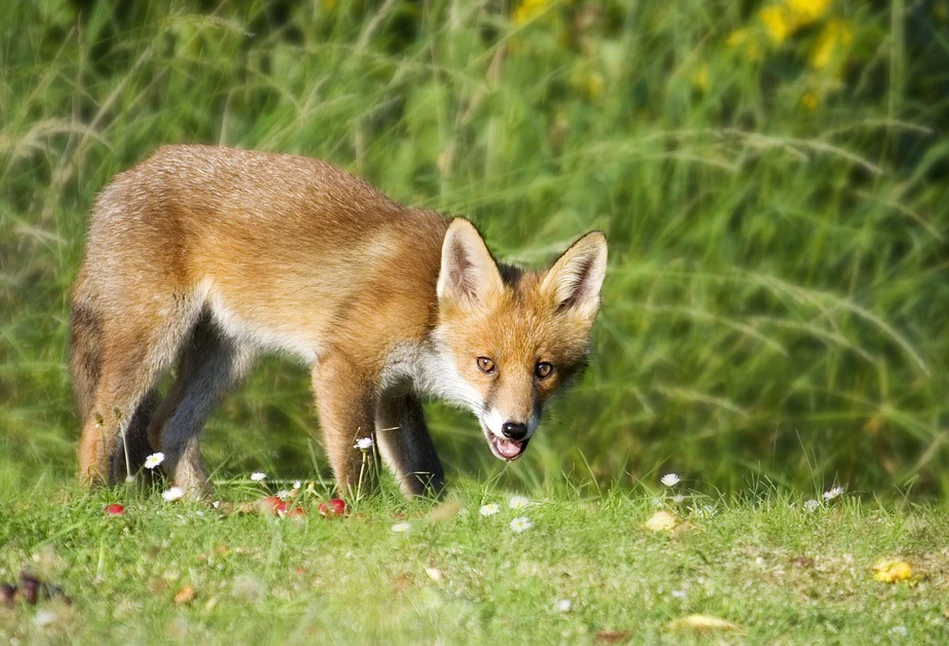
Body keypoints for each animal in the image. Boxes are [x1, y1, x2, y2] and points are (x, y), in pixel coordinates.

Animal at [72, 146, 608, 502]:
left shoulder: (396, 391)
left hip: (229, 356)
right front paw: (361, 517)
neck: (427, 306)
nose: (515, 429)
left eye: (544, 370)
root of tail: (120, 180)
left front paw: (433, 516)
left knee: (167, 427)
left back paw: (209, 509)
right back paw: (95, 500)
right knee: (100, 424)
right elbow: (358, 467)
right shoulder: (346, 366)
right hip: (152, 339)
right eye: (485, 364)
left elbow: (424, 472)